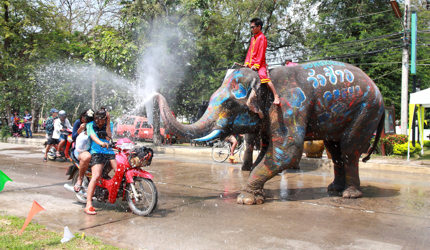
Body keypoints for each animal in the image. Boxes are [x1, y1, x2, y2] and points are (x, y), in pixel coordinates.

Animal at [156, 60, 384, 205]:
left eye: (229, 104)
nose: (156, 93)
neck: (265, 81)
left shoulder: (289, 108)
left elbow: (286, 152)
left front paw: (245, 199)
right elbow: (267, 152)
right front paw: (258, 195)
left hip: (366, 111)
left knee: (349, 149)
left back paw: (350, 195)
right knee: (334, 150)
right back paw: (334, 189)